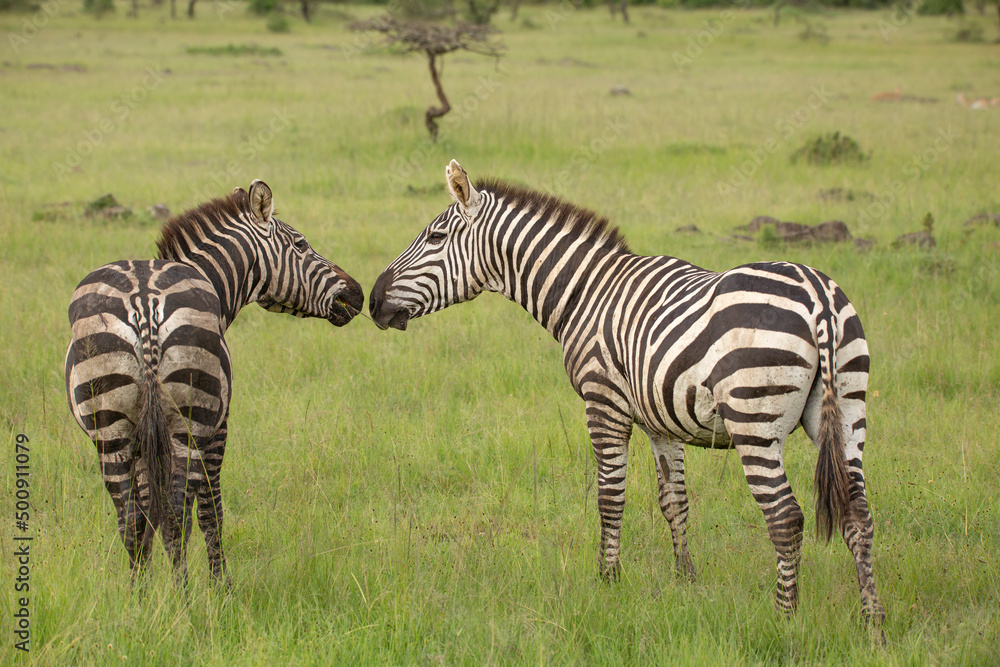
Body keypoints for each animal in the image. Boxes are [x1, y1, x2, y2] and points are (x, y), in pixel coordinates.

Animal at [65, 180, 363, 583]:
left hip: (109, 429)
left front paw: (147, 587)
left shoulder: (140, 439)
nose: (357, 292)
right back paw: (183, 597)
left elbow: (145, 513)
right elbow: (211, 511)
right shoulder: (218, 427)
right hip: (189, 422)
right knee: (177, 515)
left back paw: (138, 597)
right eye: (301, 245)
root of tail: (144, 303)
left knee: (130, 520)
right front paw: (222, 586)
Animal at [369, 160, 884, 625]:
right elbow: (674, 501)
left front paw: (608, 579)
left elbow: (610, 496)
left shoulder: (604, 404)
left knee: (785, 518)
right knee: (858, 513)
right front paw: (685, 578)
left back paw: (784, 617)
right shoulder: (662, 420)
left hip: (755, 422)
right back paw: (872, 621)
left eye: (435, 238)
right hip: (847, 410)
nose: (373, 301)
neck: (585, 292)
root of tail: (817, 296)